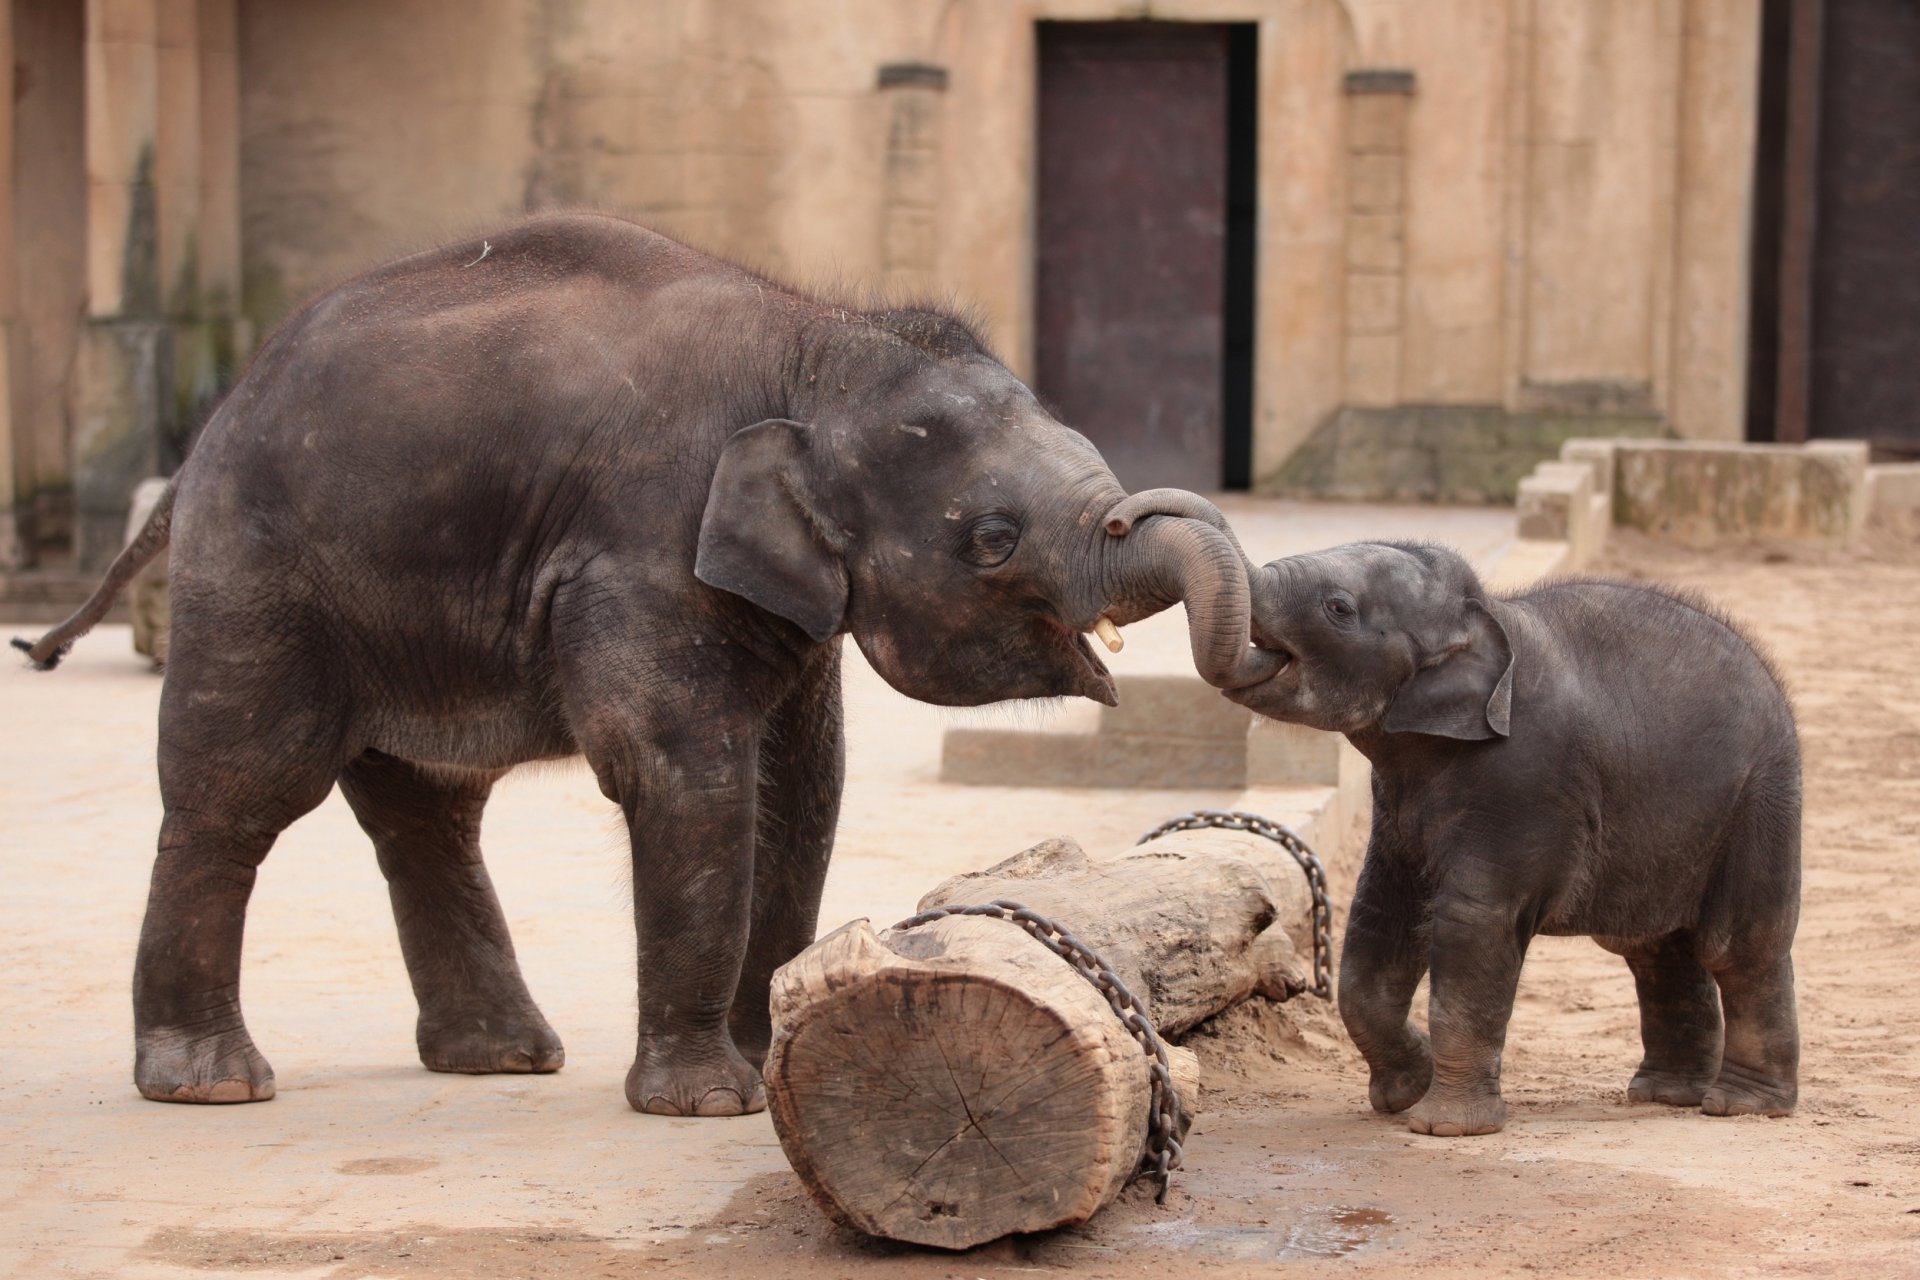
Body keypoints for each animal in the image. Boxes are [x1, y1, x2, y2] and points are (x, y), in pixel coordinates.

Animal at [15, 214, 1282, 1113]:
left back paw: (502, 1059)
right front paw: (710, 1100)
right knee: (241, 790)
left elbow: (803, 788)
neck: (814, 343)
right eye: (992, 538)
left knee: (427, 810)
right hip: (262, 578)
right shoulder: (645, 546)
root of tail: (201, 443)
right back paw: (212, 1081)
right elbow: (687, 777)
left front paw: (770, 1055)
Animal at [1228, 537, 1797, 1128]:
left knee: (1738, 947)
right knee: (1653, 946)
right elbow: (1379, 919)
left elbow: (1474, 921)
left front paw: (1443, 1125)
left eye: (1337, 608)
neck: (1485, 615)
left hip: (1761, 801)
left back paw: (1741, 1105)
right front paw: (1406, 1094)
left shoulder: (1526, 780)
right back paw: (1665, 1095)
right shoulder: (1393, 807)